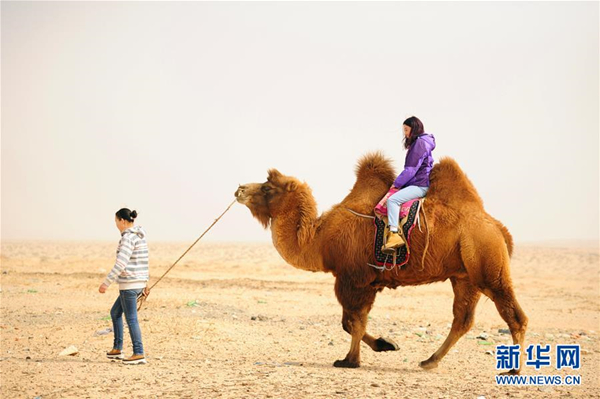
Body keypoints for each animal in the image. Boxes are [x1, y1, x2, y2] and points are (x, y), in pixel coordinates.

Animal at [234, 152, 528, 374]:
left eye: (267, 187)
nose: (239, 189)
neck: (318, 240)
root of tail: (499, 228)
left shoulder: (354, 280)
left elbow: (353, 322)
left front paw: (350, 361)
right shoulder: (364, 282)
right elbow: (351, 322)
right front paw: (387, 344)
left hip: (486, 261)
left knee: (514, 315)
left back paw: (515, 369)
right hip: (464, 275)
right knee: (462, 319)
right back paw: (429, 360)